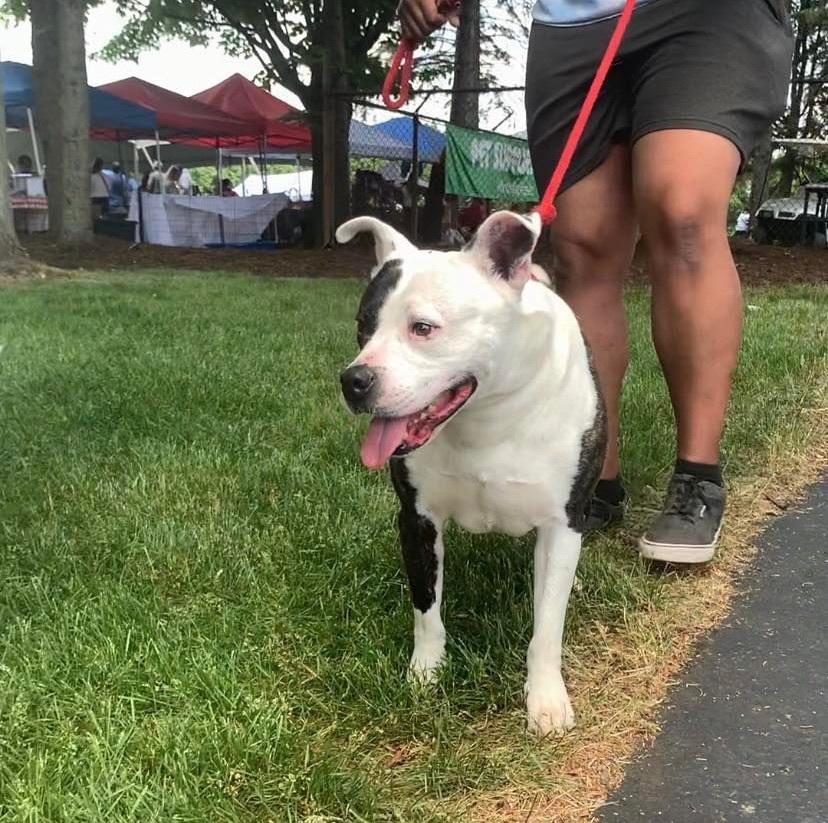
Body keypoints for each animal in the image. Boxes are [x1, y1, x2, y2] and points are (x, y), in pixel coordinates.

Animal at [338, 211, 608, 732]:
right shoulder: (417, 520)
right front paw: (426, 673)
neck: (485, 416)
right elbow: (426, 610)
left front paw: (546, 697)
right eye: (363, 326)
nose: (353, 380)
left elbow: (548, 626)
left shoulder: (561, 523)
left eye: (423, 328)